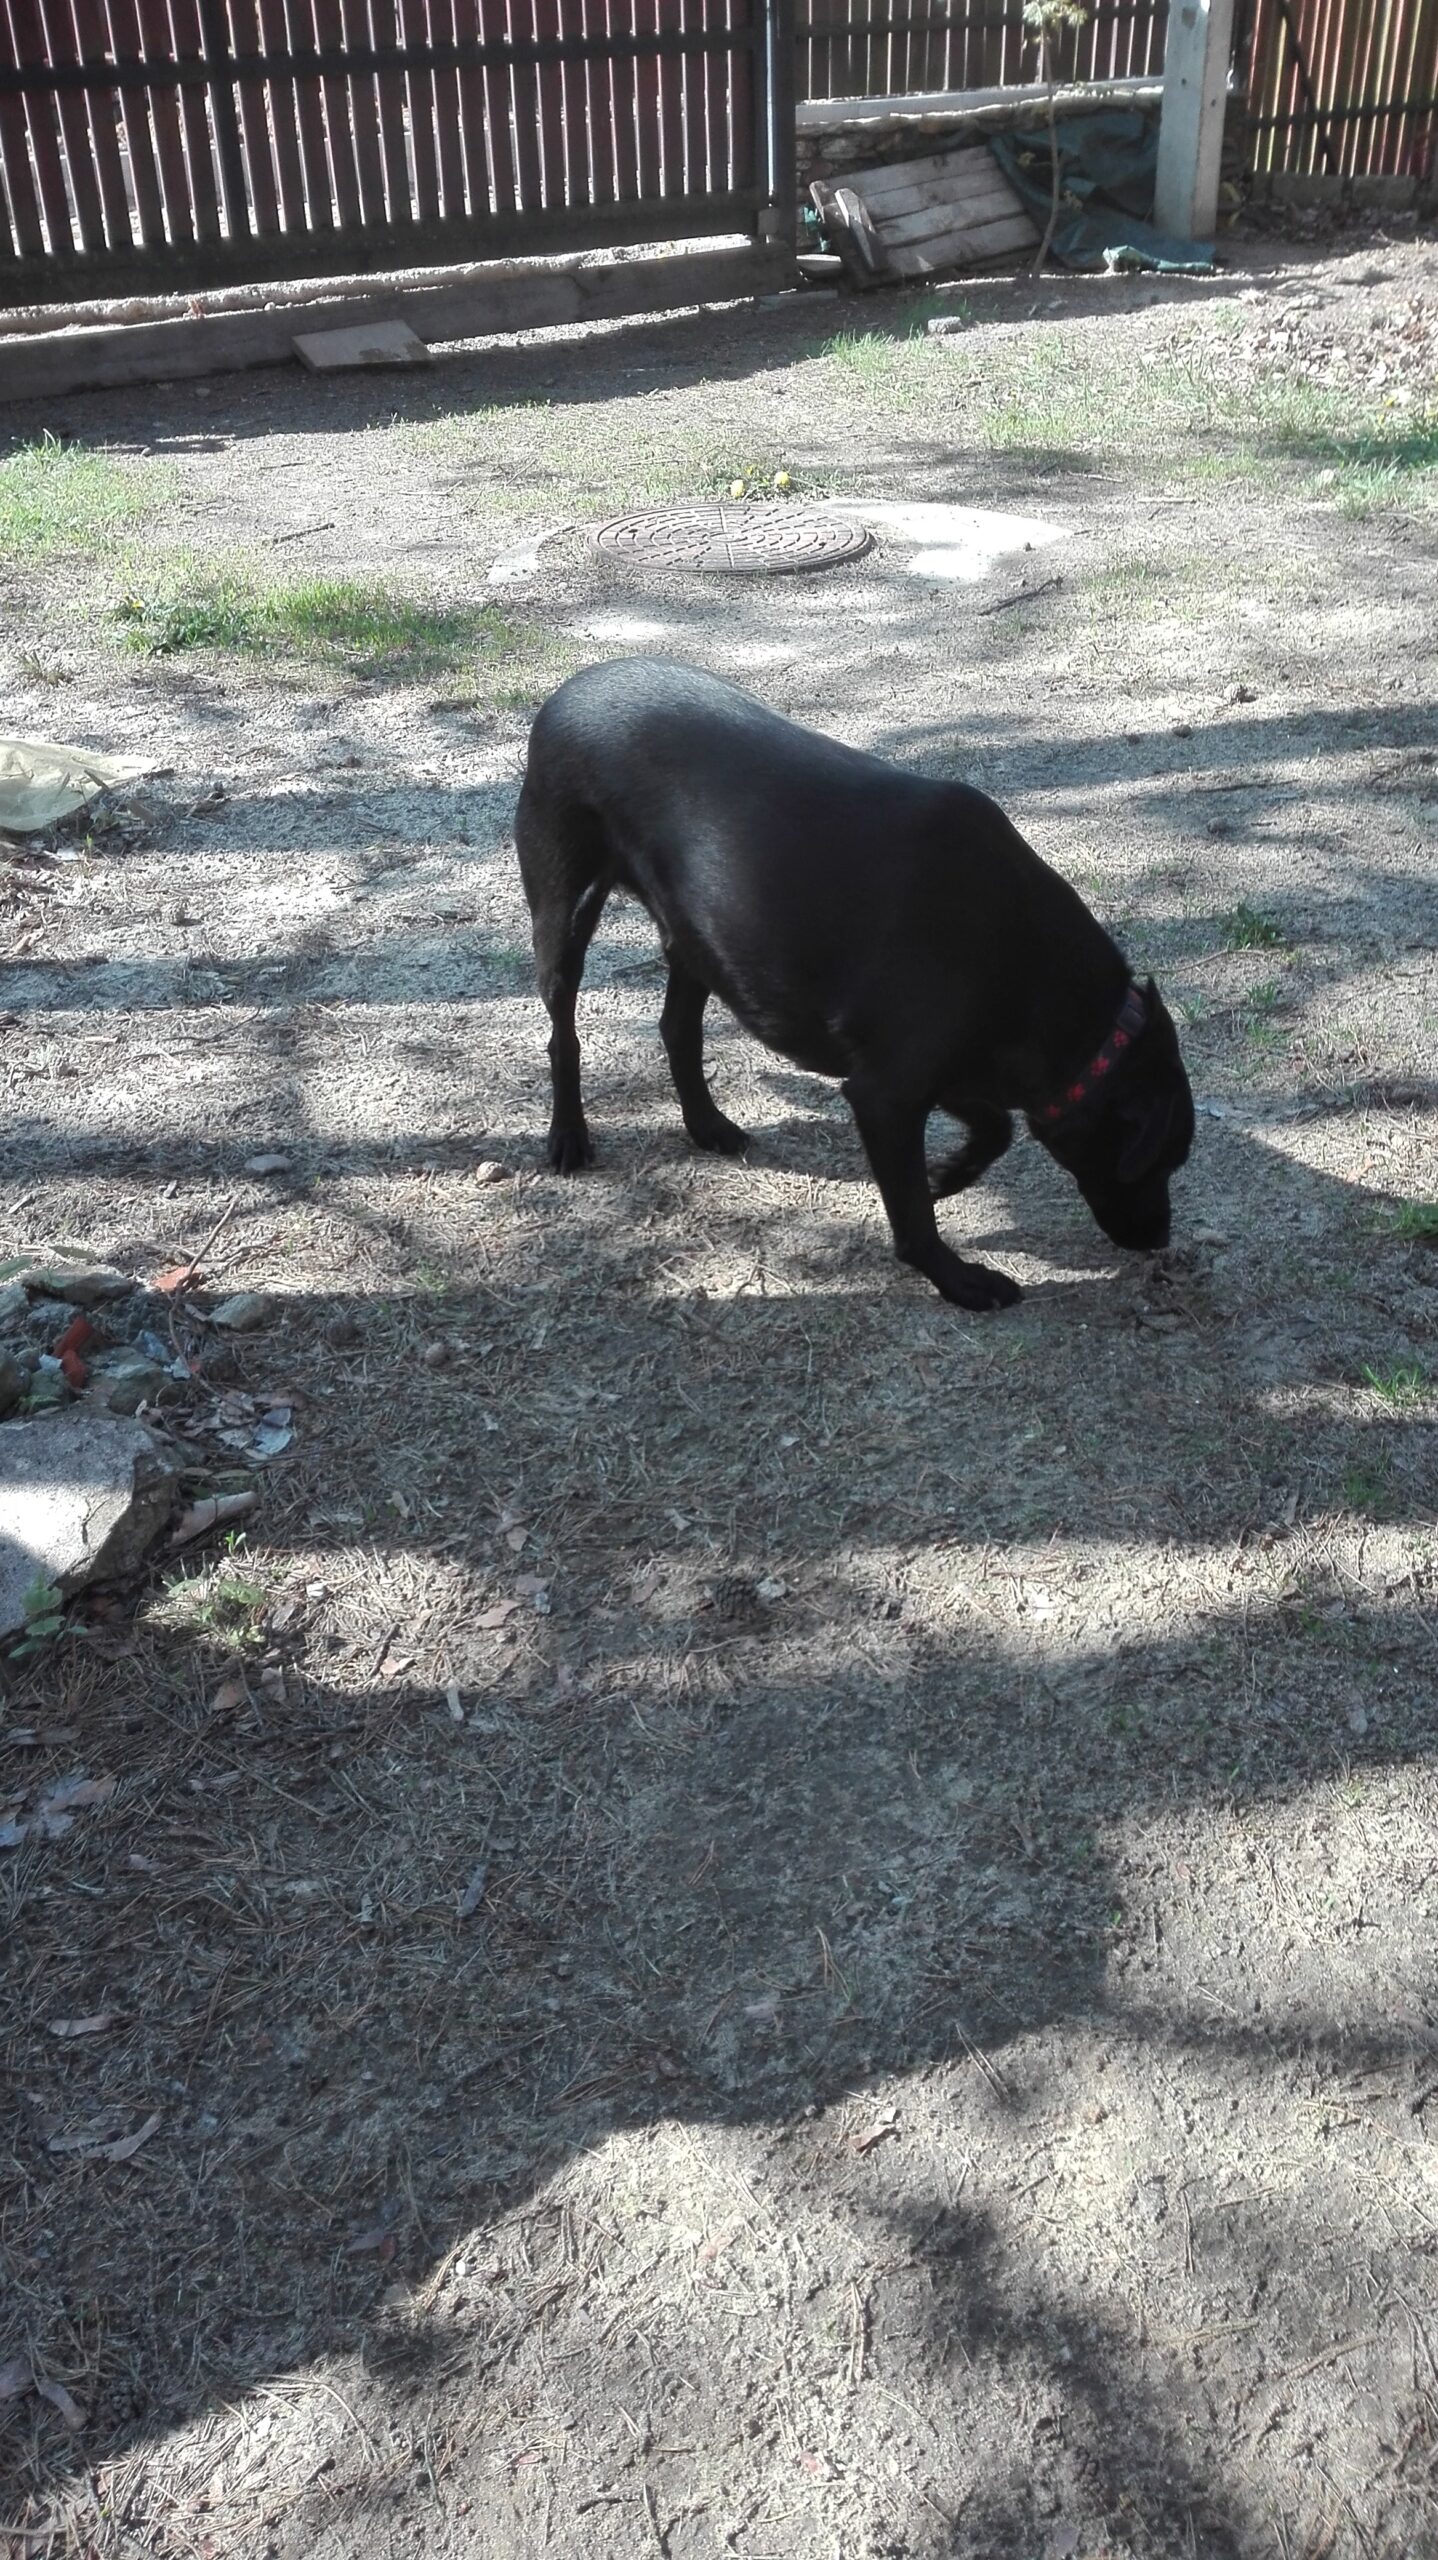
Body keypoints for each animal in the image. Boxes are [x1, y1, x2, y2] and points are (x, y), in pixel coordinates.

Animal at [516, 658, 1194, 1310]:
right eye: (1163, 1161)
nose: (1161, 1237)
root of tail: (567, 691)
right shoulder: (885, 1095)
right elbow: (915, 1220)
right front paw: (960, 1281)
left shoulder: (933, 1070)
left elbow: (994, 1127)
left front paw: (949, 1173)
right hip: (565, 913)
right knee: (562, 1035)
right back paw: (569, 1135)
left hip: (696, 938)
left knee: (677, 1029)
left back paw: (707, 1124)